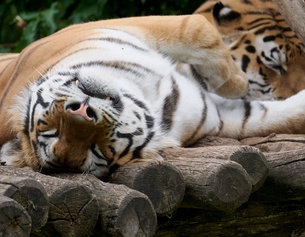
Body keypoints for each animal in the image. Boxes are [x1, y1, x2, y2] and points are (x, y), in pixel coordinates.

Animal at [0, 14, 304, 178]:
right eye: (97, 150)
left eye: (51, 131)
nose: (82, 111)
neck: (147, 92)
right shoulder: (222, 118)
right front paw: (239, 84)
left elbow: (198, 28)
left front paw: (234, 82)